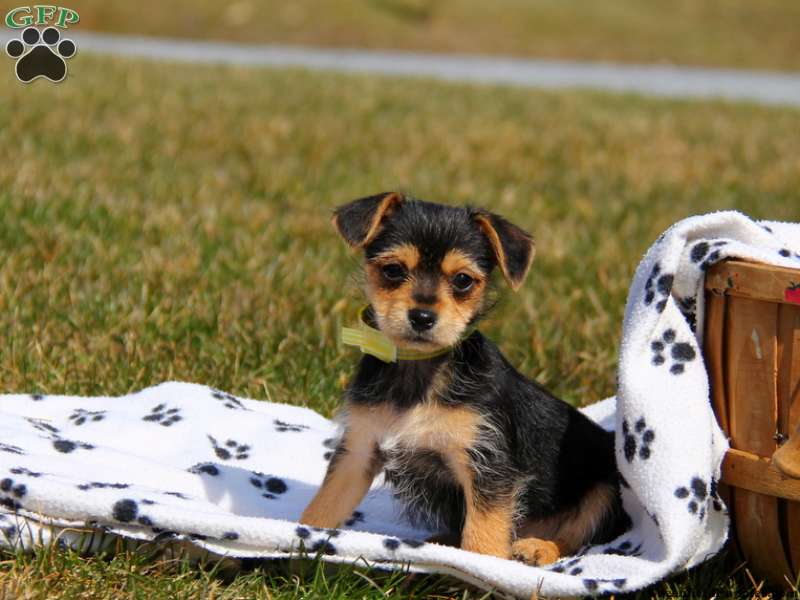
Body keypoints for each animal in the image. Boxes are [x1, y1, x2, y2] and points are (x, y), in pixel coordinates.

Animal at [300, 191, 624, 564]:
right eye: (393, 270)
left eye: (463, 280)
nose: (422, 316)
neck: (420, 371)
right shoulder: (359, 450)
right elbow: (324, 506)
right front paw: (299, 535)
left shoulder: (488, 466)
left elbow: (483, 536)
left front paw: (481, 566)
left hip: (605, 490)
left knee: (578, 537)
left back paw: (537, 548)